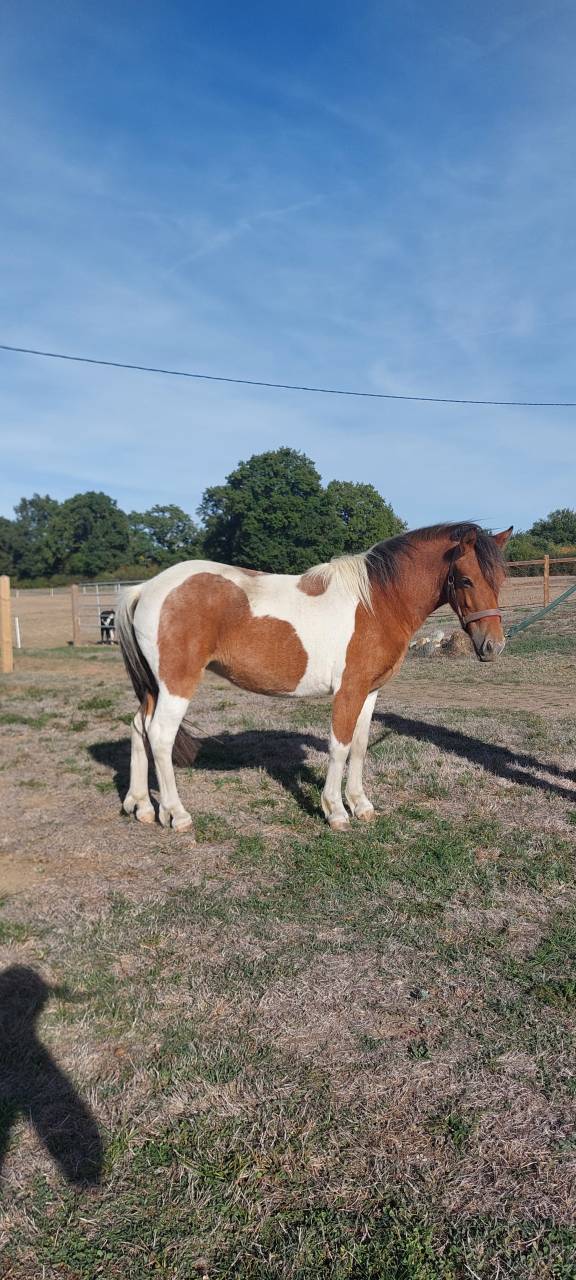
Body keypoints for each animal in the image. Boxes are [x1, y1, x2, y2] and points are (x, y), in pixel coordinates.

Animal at [116, 521, 512, 836]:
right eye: (465, 579)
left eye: (500, 579)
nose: (492, 646)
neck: (377, 602)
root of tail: (145, 589)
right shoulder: (349, 690)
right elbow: (339, 747)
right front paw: (335, 811)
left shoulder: (369, 692)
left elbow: (360, 746)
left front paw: (361, 805)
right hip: (176, 685)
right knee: (160, 736)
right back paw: (177, 814)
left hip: (155, 687)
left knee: (138, 728)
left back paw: (141, 807)